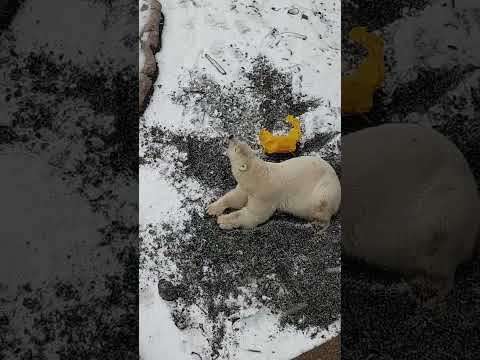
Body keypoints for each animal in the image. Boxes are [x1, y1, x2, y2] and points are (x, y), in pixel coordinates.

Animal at [206, 135, 342, 231]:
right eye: (241, 142)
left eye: (236, 148)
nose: (231, 136)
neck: (257, 176)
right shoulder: (247, 188)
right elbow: (235, 197)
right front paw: (212, 208)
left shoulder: (264, 194)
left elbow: (253, 215)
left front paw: (223, 220)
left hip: (325, 189)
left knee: (322, 204)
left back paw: (315, 224)